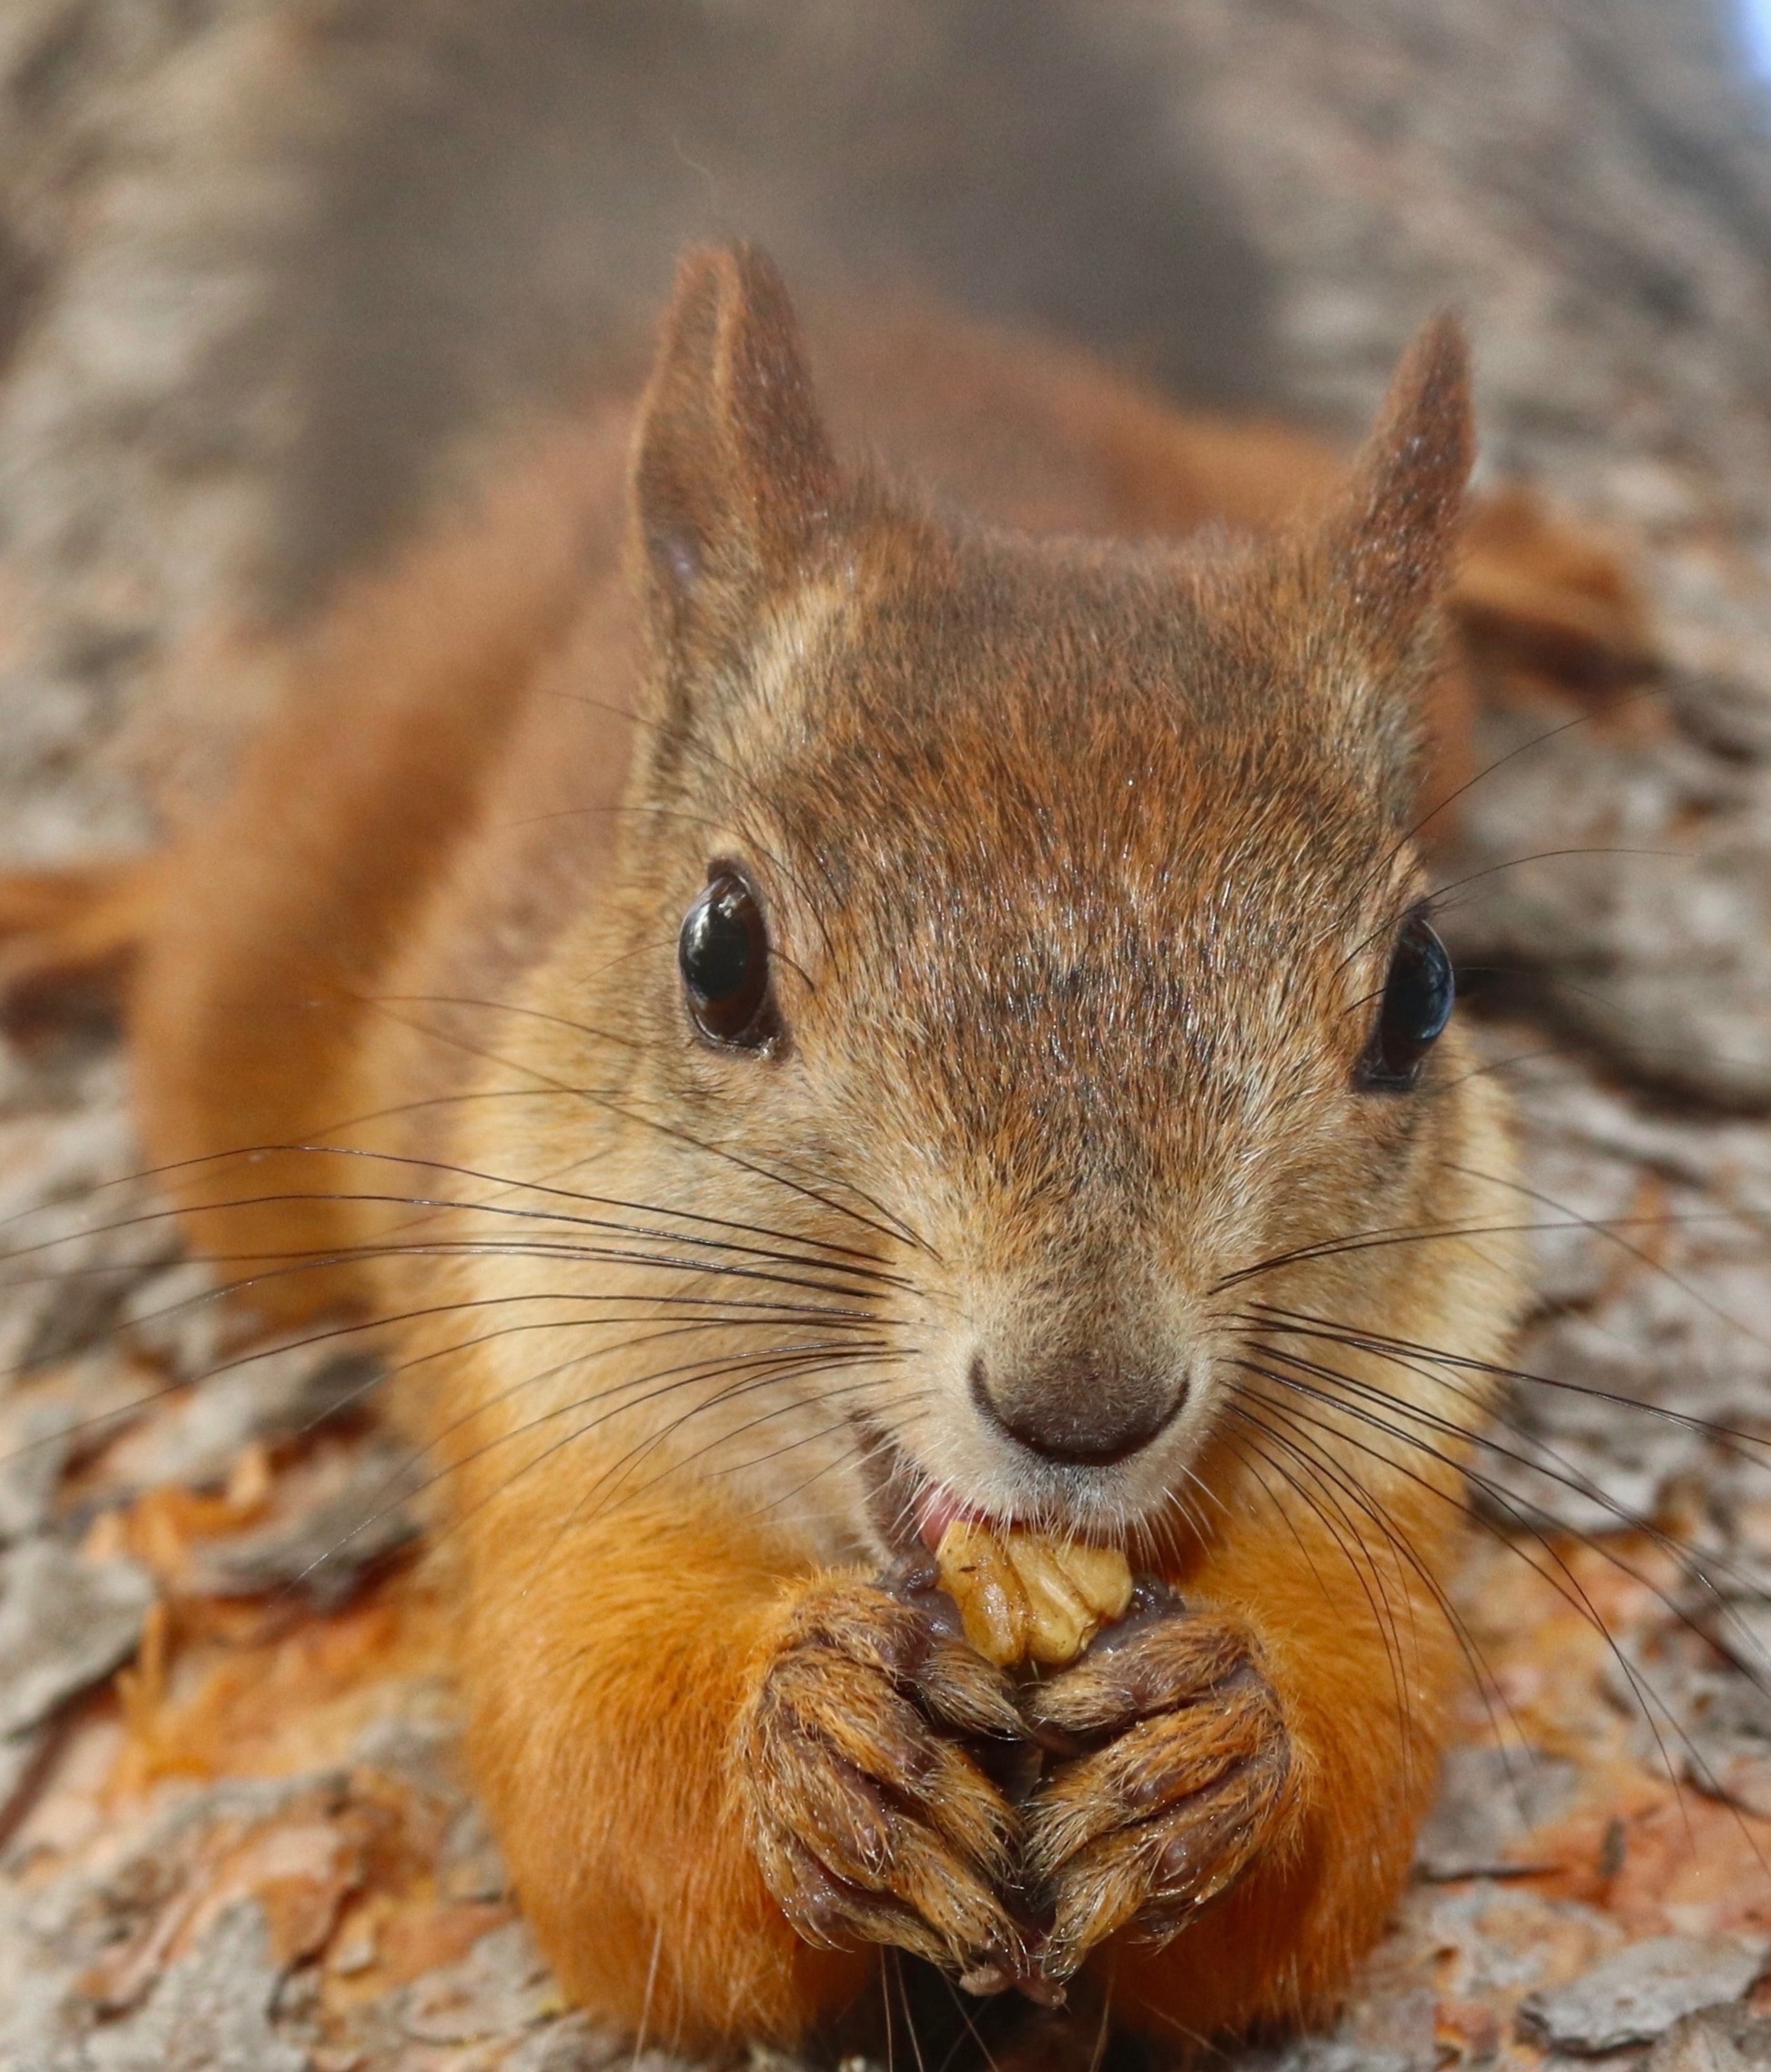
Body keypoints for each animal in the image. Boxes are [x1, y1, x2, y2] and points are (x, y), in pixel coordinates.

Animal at [0, 246, 1665, 2055]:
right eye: (718, 953)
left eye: (1422, 995)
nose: (1081, 1407)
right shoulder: (543, 1391)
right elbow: (598, 1801)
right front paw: (802, 1736)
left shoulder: (1399, 1427)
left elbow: (1336, 1817)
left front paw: (1217, 1739)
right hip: (284, 933)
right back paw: (91, 904)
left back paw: (1532, 559)